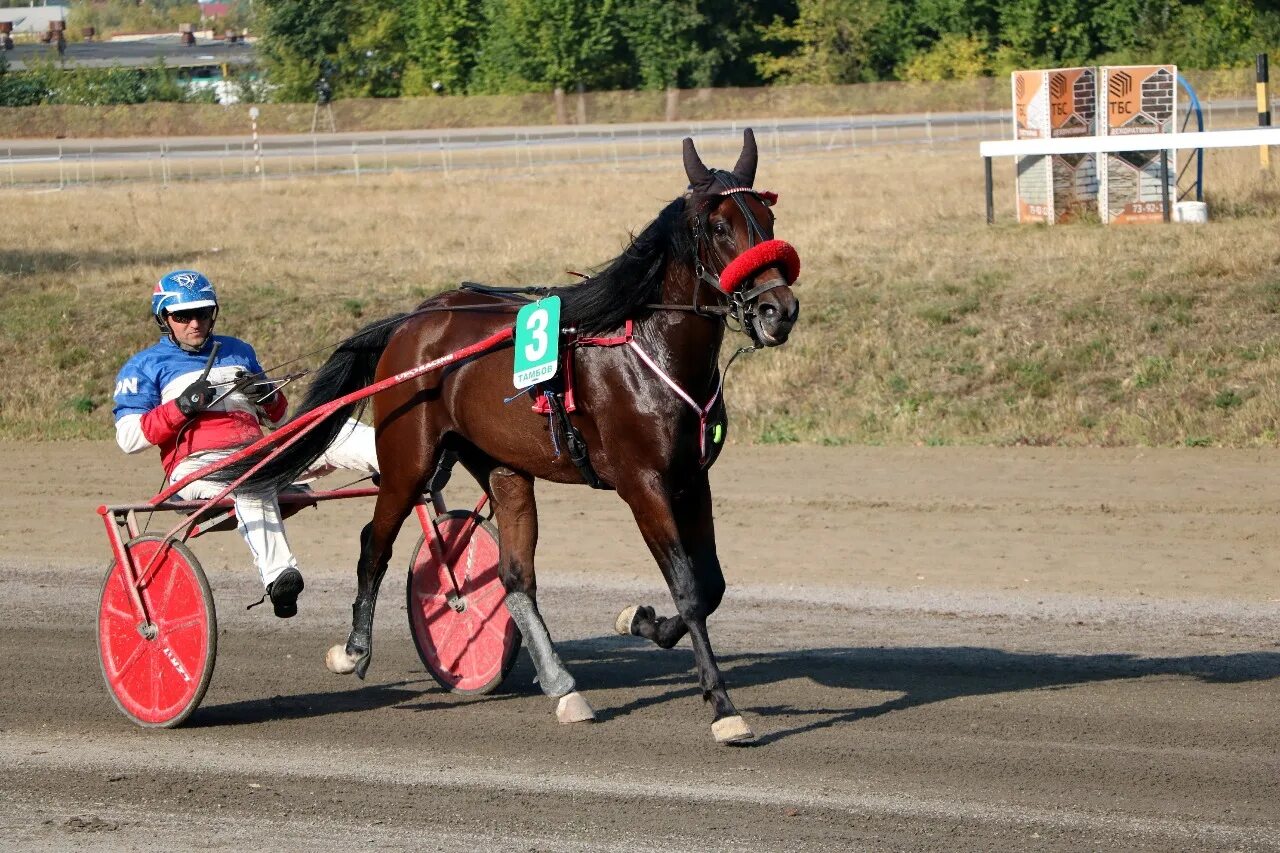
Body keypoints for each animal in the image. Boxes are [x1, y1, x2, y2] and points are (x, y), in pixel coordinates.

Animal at [220, 129, 798, 742]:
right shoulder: (644, 484)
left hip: (502, 466)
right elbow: (688, 589)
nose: (778, 309)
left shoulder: (690, 480)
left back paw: (564, 687)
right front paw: (723, 707)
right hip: (406, 462)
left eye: (768, 218)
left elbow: (711, 586)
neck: (649, 350)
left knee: (515, 576)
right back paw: (353, 651)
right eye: (718, 227)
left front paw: (639, 620)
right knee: (374, 545)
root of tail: (411, 321)